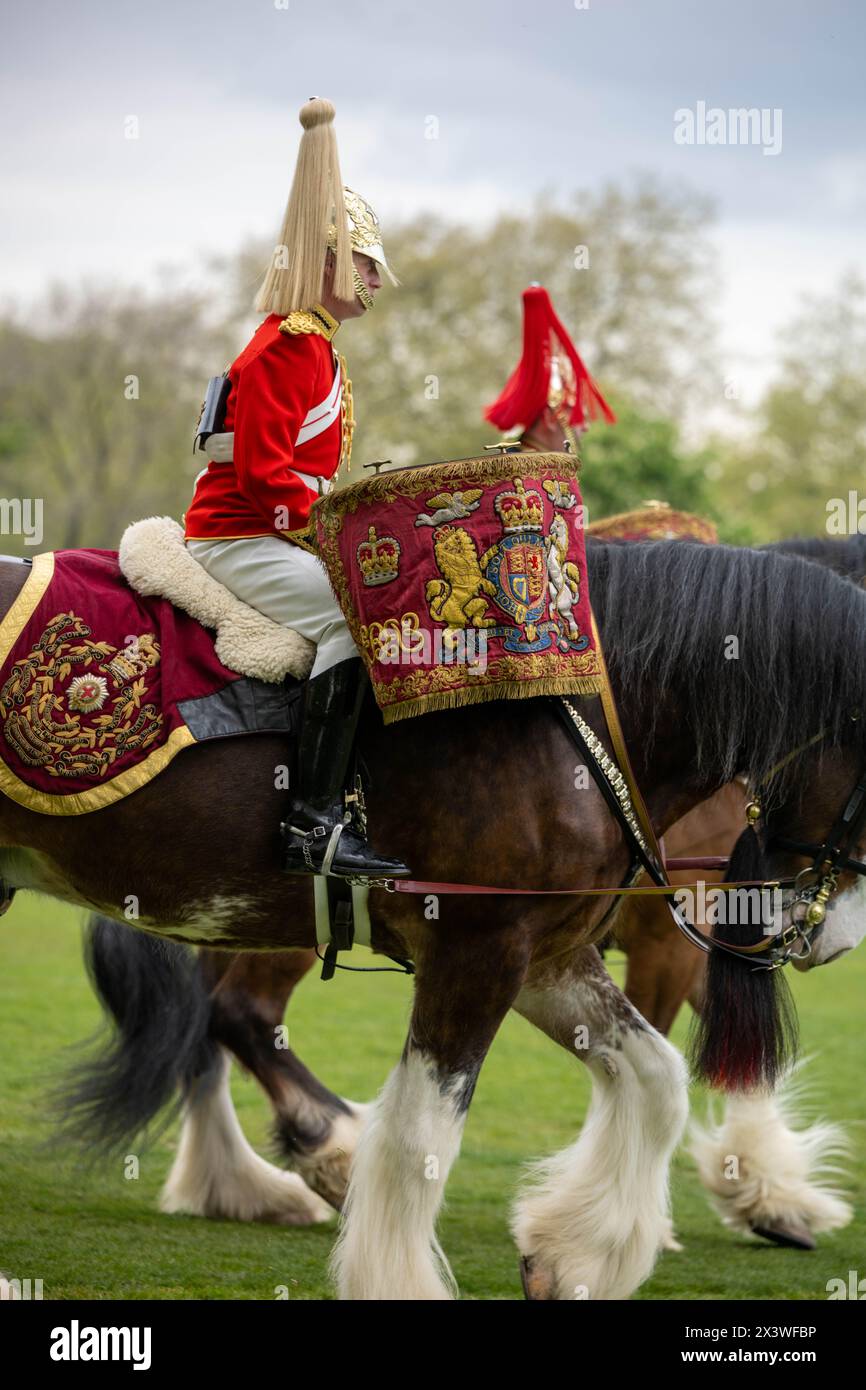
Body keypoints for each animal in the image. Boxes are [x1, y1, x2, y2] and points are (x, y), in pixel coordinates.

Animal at [1, 536, 866, 1295]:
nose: (838, 933)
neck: (573, 714)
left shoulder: (546, 954)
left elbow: (658, 1081)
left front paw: (577, 1255)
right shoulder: (481, 950)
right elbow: (422, 1136)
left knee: (213, 1022)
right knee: (235, 1014)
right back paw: (316, 1155)